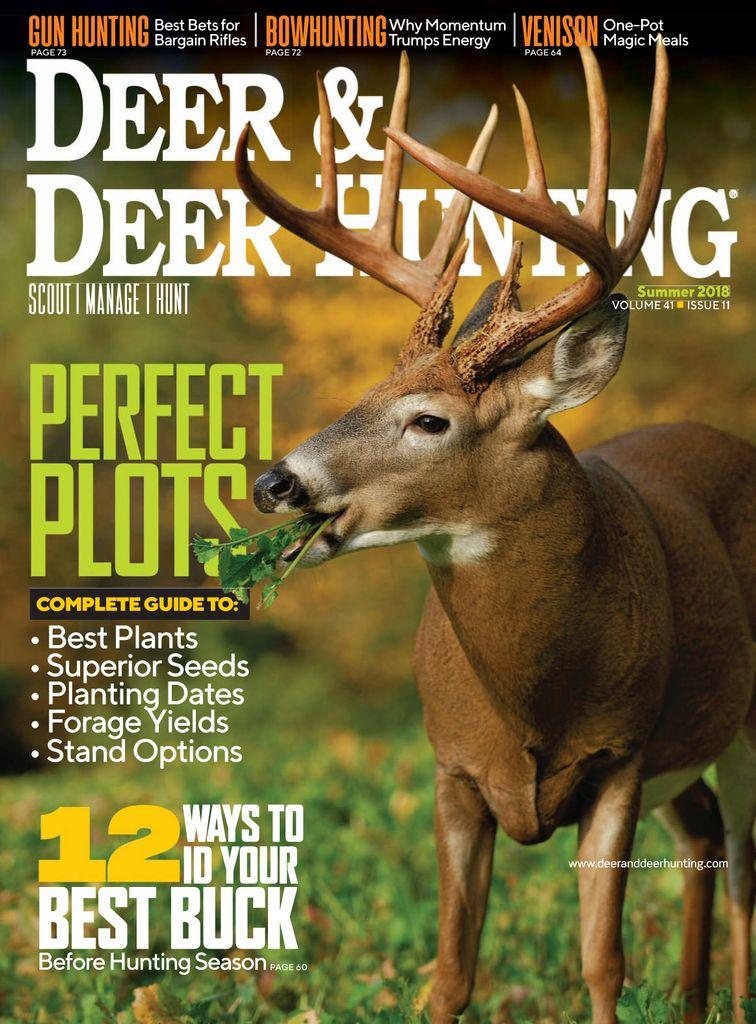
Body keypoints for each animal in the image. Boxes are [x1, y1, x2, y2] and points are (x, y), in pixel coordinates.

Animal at [235, 42, 755, 1024]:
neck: (532, 693)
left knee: (746, 859)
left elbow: (602, 961)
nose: (275, 482)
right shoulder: (452, 768)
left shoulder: (622, 754)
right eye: (366, 389)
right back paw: (699, 1000)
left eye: (429, 420)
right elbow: (450, 969)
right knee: (708, 833)